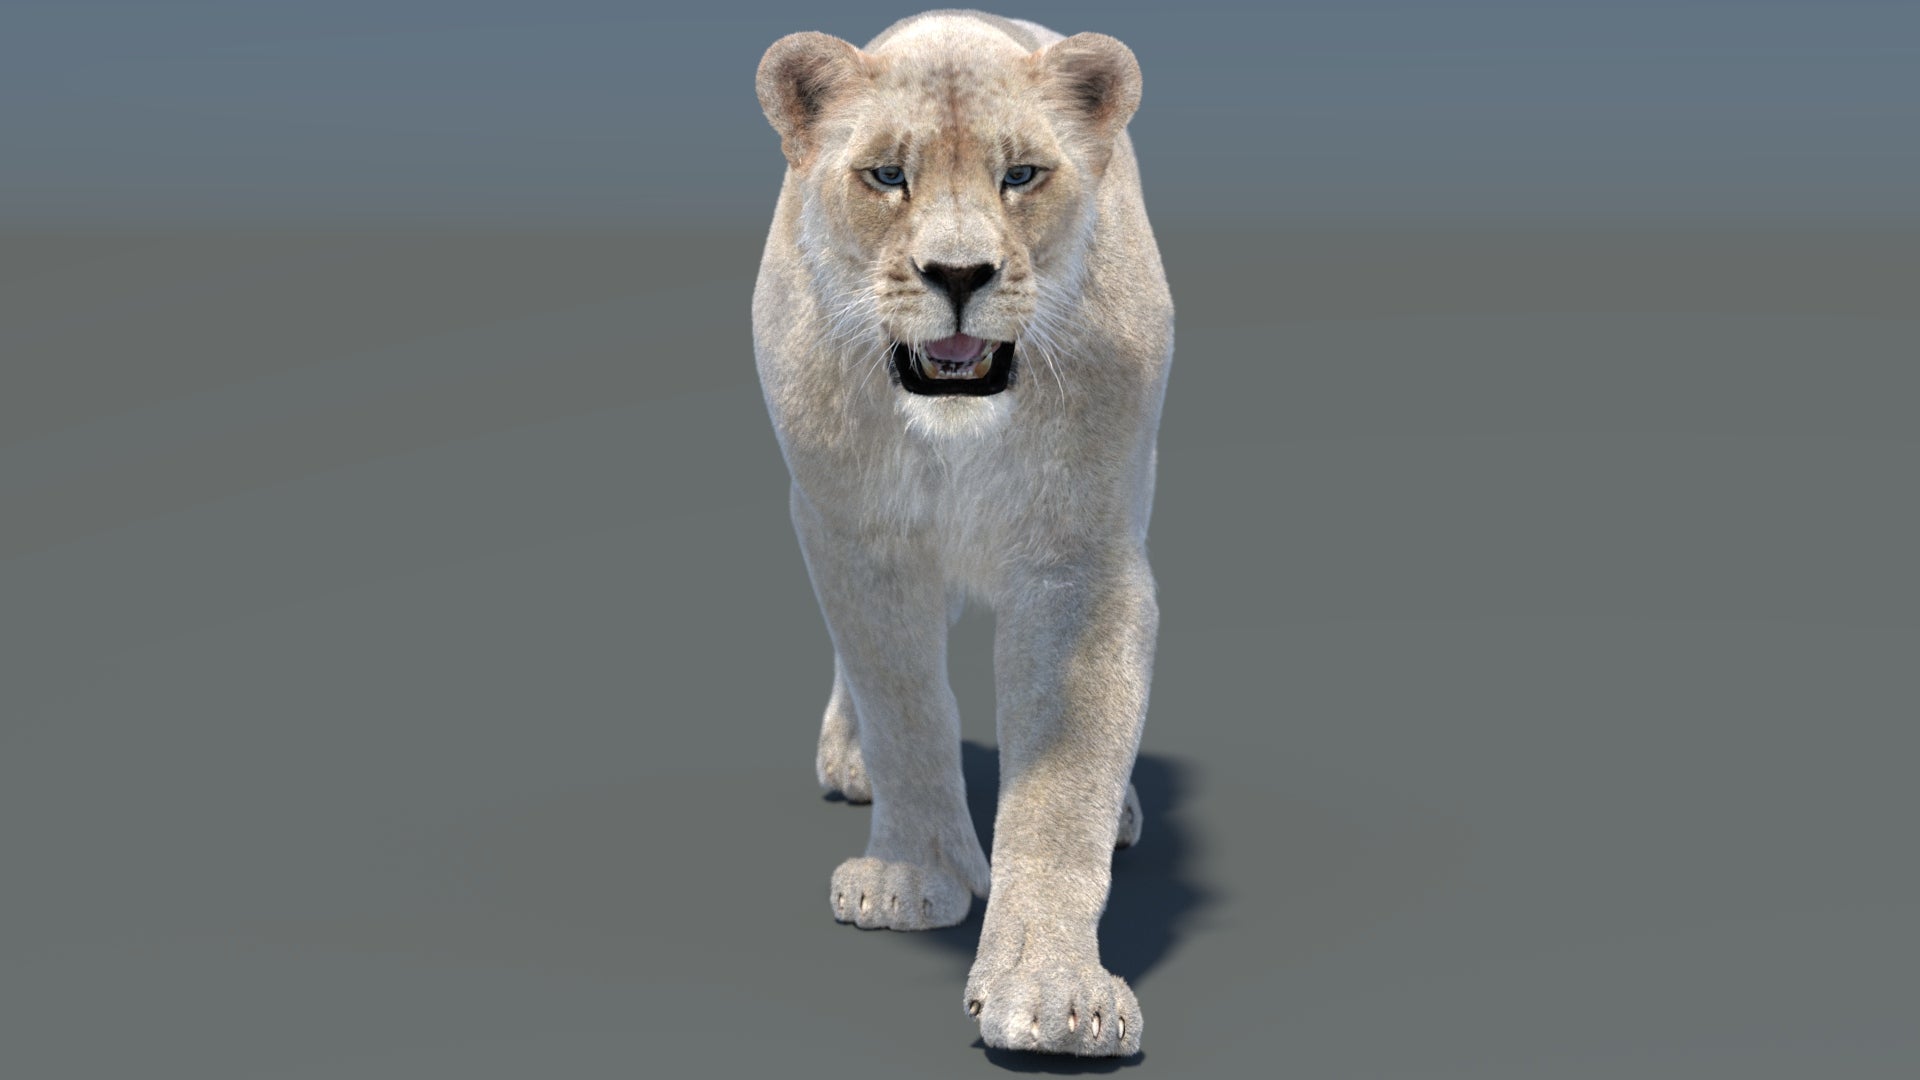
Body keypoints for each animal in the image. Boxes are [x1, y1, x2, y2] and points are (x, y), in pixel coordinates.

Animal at [752, 10, 1172, 1056]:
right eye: (885, 175)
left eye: (1020, 174)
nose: (957, 274)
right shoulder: (855, 536)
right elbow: (903, 707)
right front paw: (913, 879)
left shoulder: (1082, 559)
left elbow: (1063, 784)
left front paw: (1053, 993)